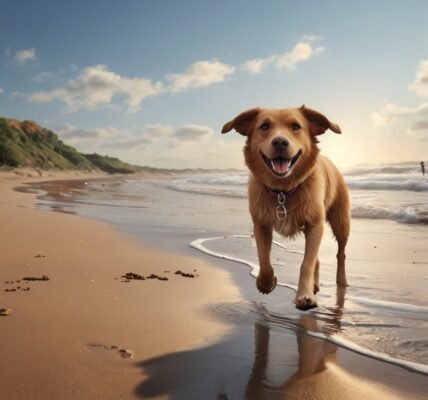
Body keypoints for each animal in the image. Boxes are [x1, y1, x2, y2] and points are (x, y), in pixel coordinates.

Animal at [222, 106, 350, 310]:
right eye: (264, 126)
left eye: (296, 126)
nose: (280, 142)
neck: (283, 190)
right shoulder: (261, 224)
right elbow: (264, 259)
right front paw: (266, 283)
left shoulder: (315, 224)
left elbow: (307, 263)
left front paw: (305, 295)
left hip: (341, 221)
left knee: (340, 253)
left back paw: (341, 281)